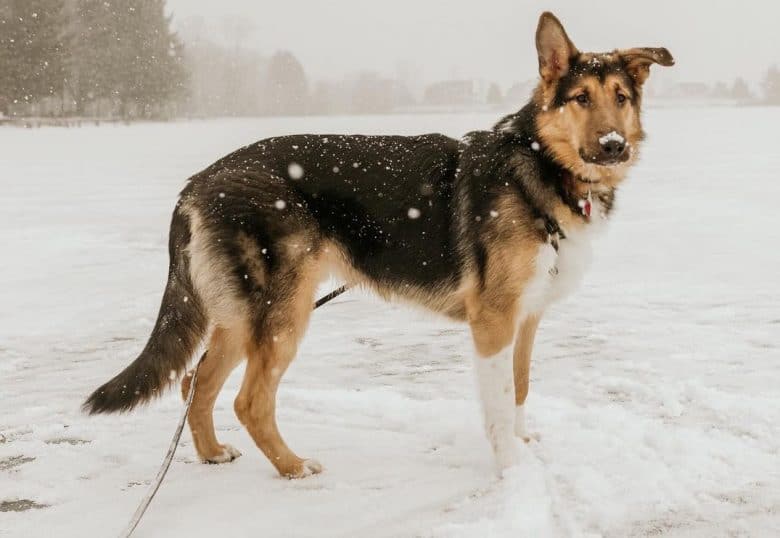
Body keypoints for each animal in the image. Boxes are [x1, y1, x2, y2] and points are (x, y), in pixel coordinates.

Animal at [84, 11, 672, 474]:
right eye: (580, 99)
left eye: (621, 98)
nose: (614, 145)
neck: (540, 166)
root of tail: (199, 182)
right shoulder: (494, 321)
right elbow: (500, 403)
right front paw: (511, 468)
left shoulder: (526, 318)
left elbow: (520, 388)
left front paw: (522, 442)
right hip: (284, 313)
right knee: (249, 401)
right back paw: (294, 467)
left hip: (243, 316)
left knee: (194, 382)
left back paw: (211, 454)